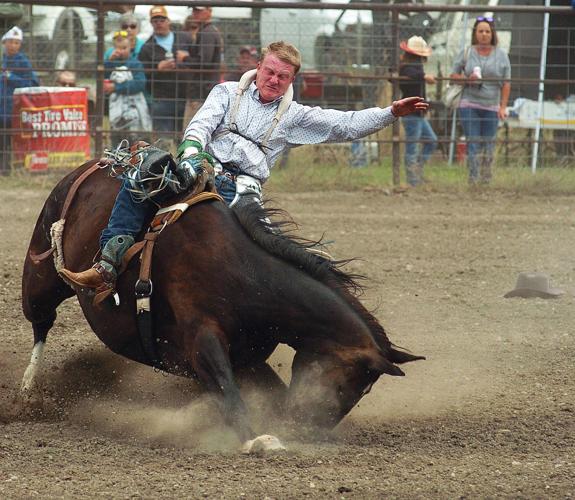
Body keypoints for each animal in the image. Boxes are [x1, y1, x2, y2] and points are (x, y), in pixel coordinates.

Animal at [20, 161, 426, 454]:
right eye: (351, 384)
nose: (306, 430)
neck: (243, 275)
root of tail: (92, 165)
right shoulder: (203, 342)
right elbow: (229, 392)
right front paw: (259, 439)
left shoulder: (249, 357)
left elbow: (265, 390)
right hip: (41, 277)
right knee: (40, 323)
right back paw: (26, 392)